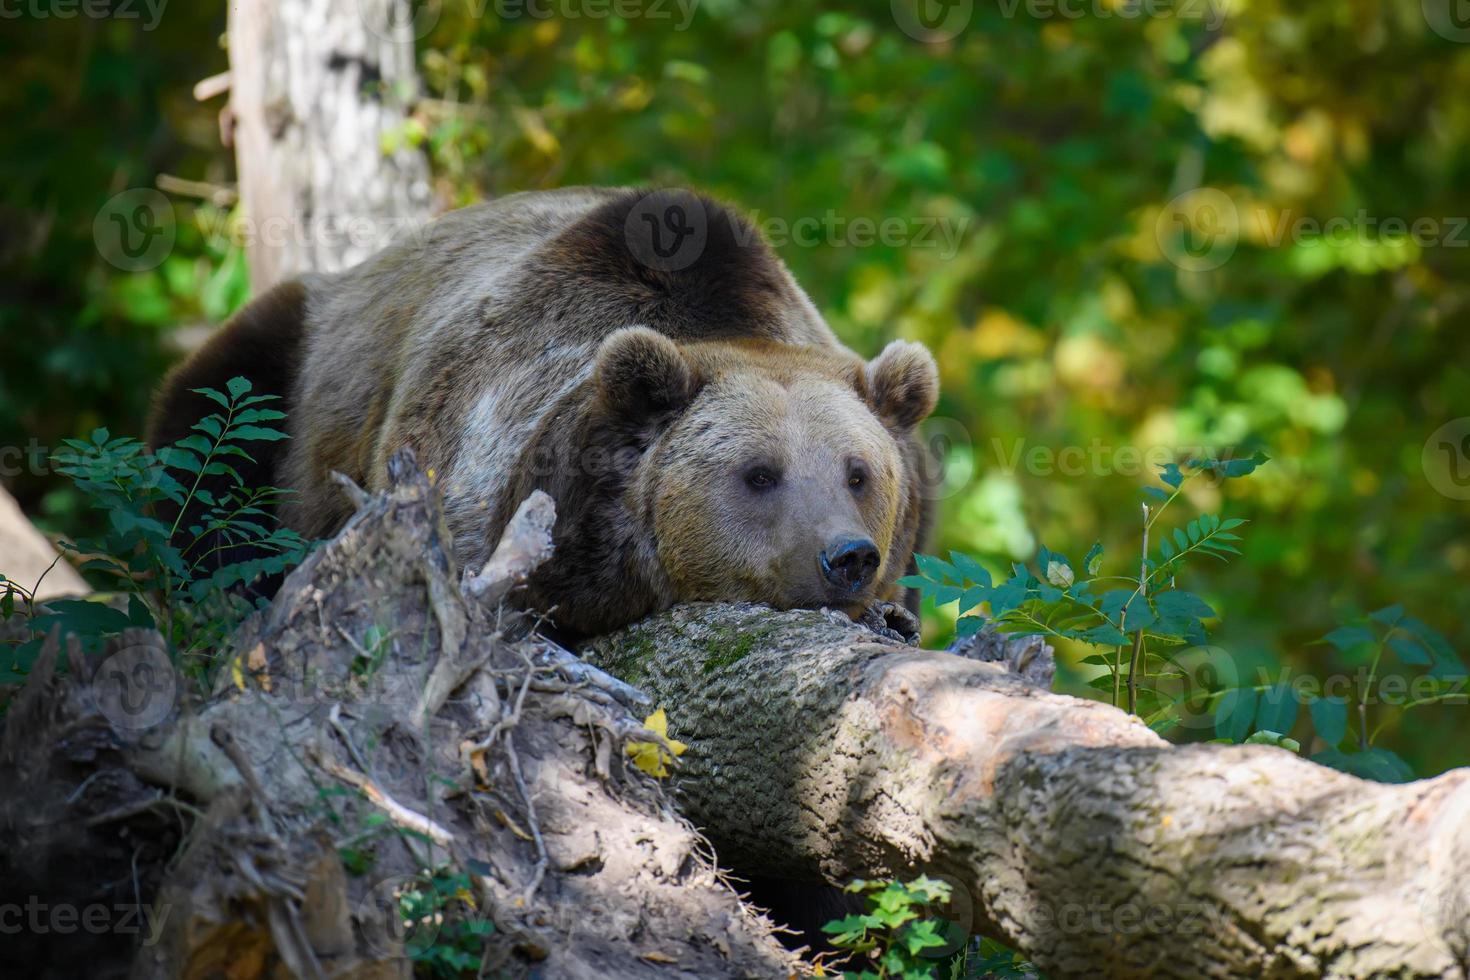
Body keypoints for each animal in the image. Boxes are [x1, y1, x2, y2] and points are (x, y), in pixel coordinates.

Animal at [149, 188, 940, 640]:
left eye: (858, 473)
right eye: (759, 474)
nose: (847, 556)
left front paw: (894, 615)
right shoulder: (474, 453)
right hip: (292, 368)